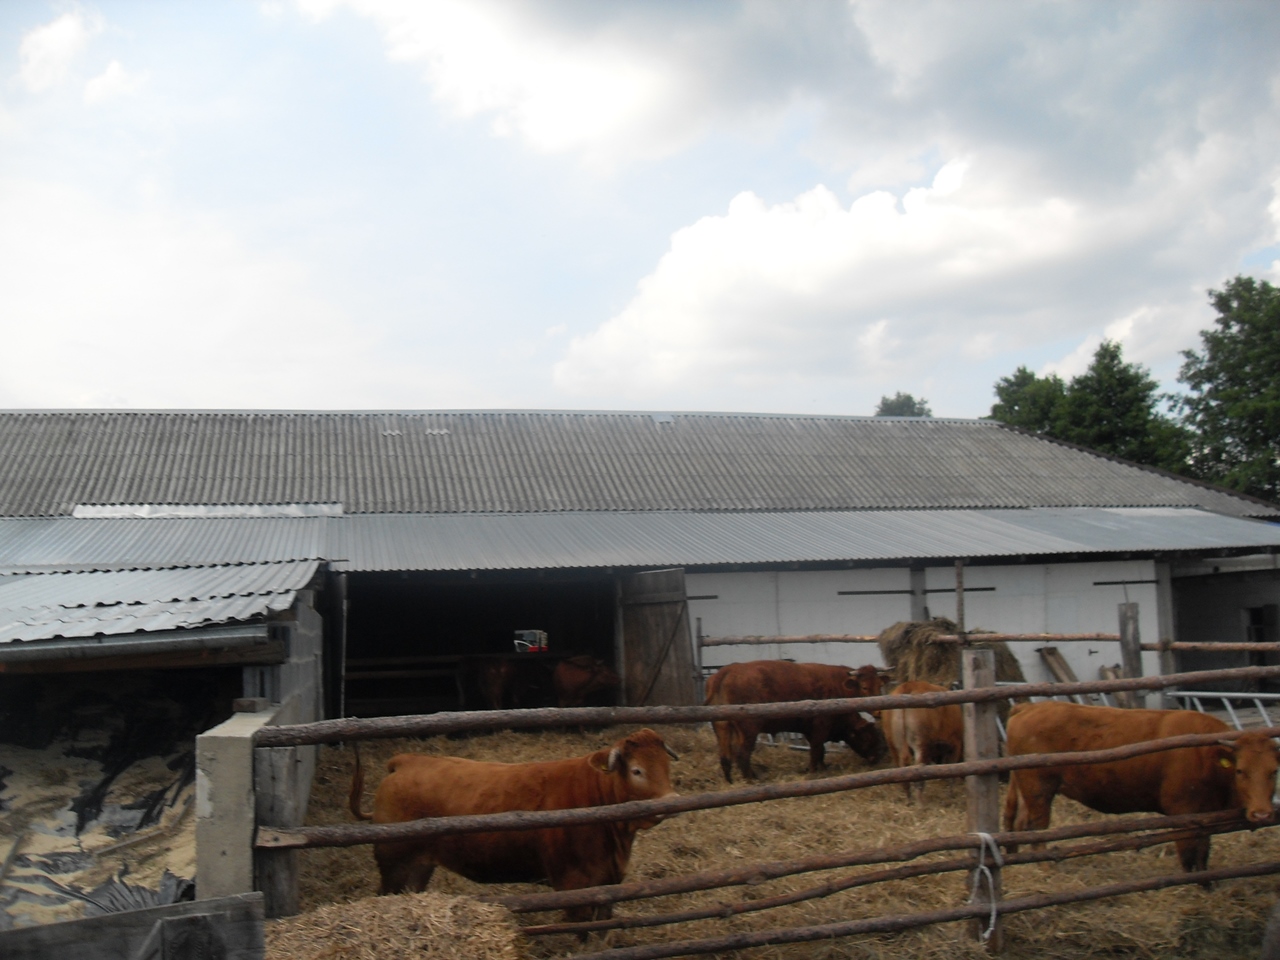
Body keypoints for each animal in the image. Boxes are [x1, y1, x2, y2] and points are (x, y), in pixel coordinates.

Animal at [348, 728, 679, 921]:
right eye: (637, 770)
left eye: (666, 766)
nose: (673, 800)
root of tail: (406, 761)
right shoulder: (574, 885)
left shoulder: (608, 883)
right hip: (394, 863)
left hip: (419, 866)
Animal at [704, 661, 886, 783]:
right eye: (864, 687)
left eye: (879, 686)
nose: (876, 757)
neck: (837, 684)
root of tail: (726, 671)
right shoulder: (820, 727)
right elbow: (816, 750)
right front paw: (814, 771)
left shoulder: (810, 730)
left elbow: (819, 751)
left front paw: (822, 767)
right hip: (749, 729)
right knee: (742, 754)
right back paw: (752, 779)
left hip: (722, 727)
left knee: (726, 756)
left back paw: (731, 780)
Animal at [1003, 701, 1279, 872]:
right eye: (1240, 771)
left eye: (1274, 771)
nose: (1262, 813)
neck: (1206, 755)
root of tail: (1029, 707)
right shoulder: (1183, 814)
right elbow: (1189, 856)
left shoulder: (1205, 818)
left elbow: (1203, 854)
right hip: (1039, 788)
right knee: (1037, 827)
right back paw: (1044, 866)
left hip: (1027, 787)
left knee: (1017, 822)